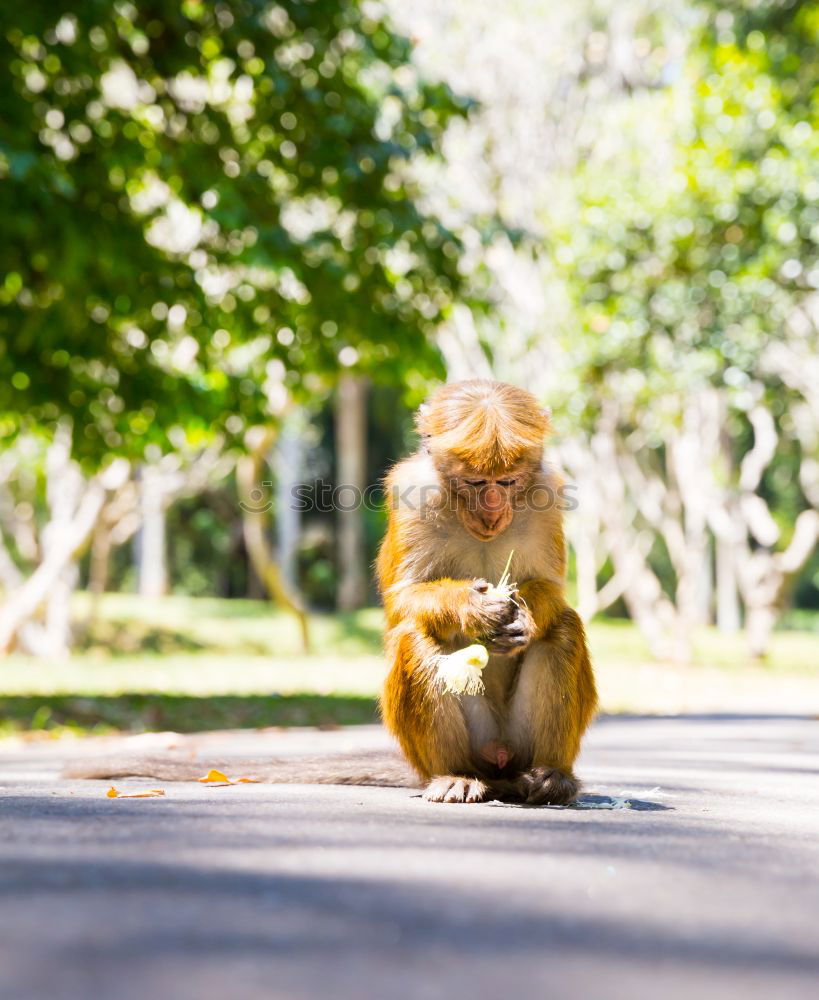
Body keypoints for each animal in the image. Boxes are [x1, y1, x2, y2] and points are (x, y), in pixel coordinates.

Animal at [62, 378, 596, 808]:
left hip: (515, 744)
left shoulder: (549, 492)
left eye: (508, 481)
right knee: (415, 636)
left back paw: (551, 778)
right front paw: (475, 611)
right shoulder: (414, 494)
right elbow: (403, 601)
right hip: (471, 744)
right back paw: (454, 775)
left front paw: (523, 614)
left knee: (563, 629)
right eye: (475, 481)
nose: (493, 508)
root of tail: (500, 764)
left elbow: (552, 592)